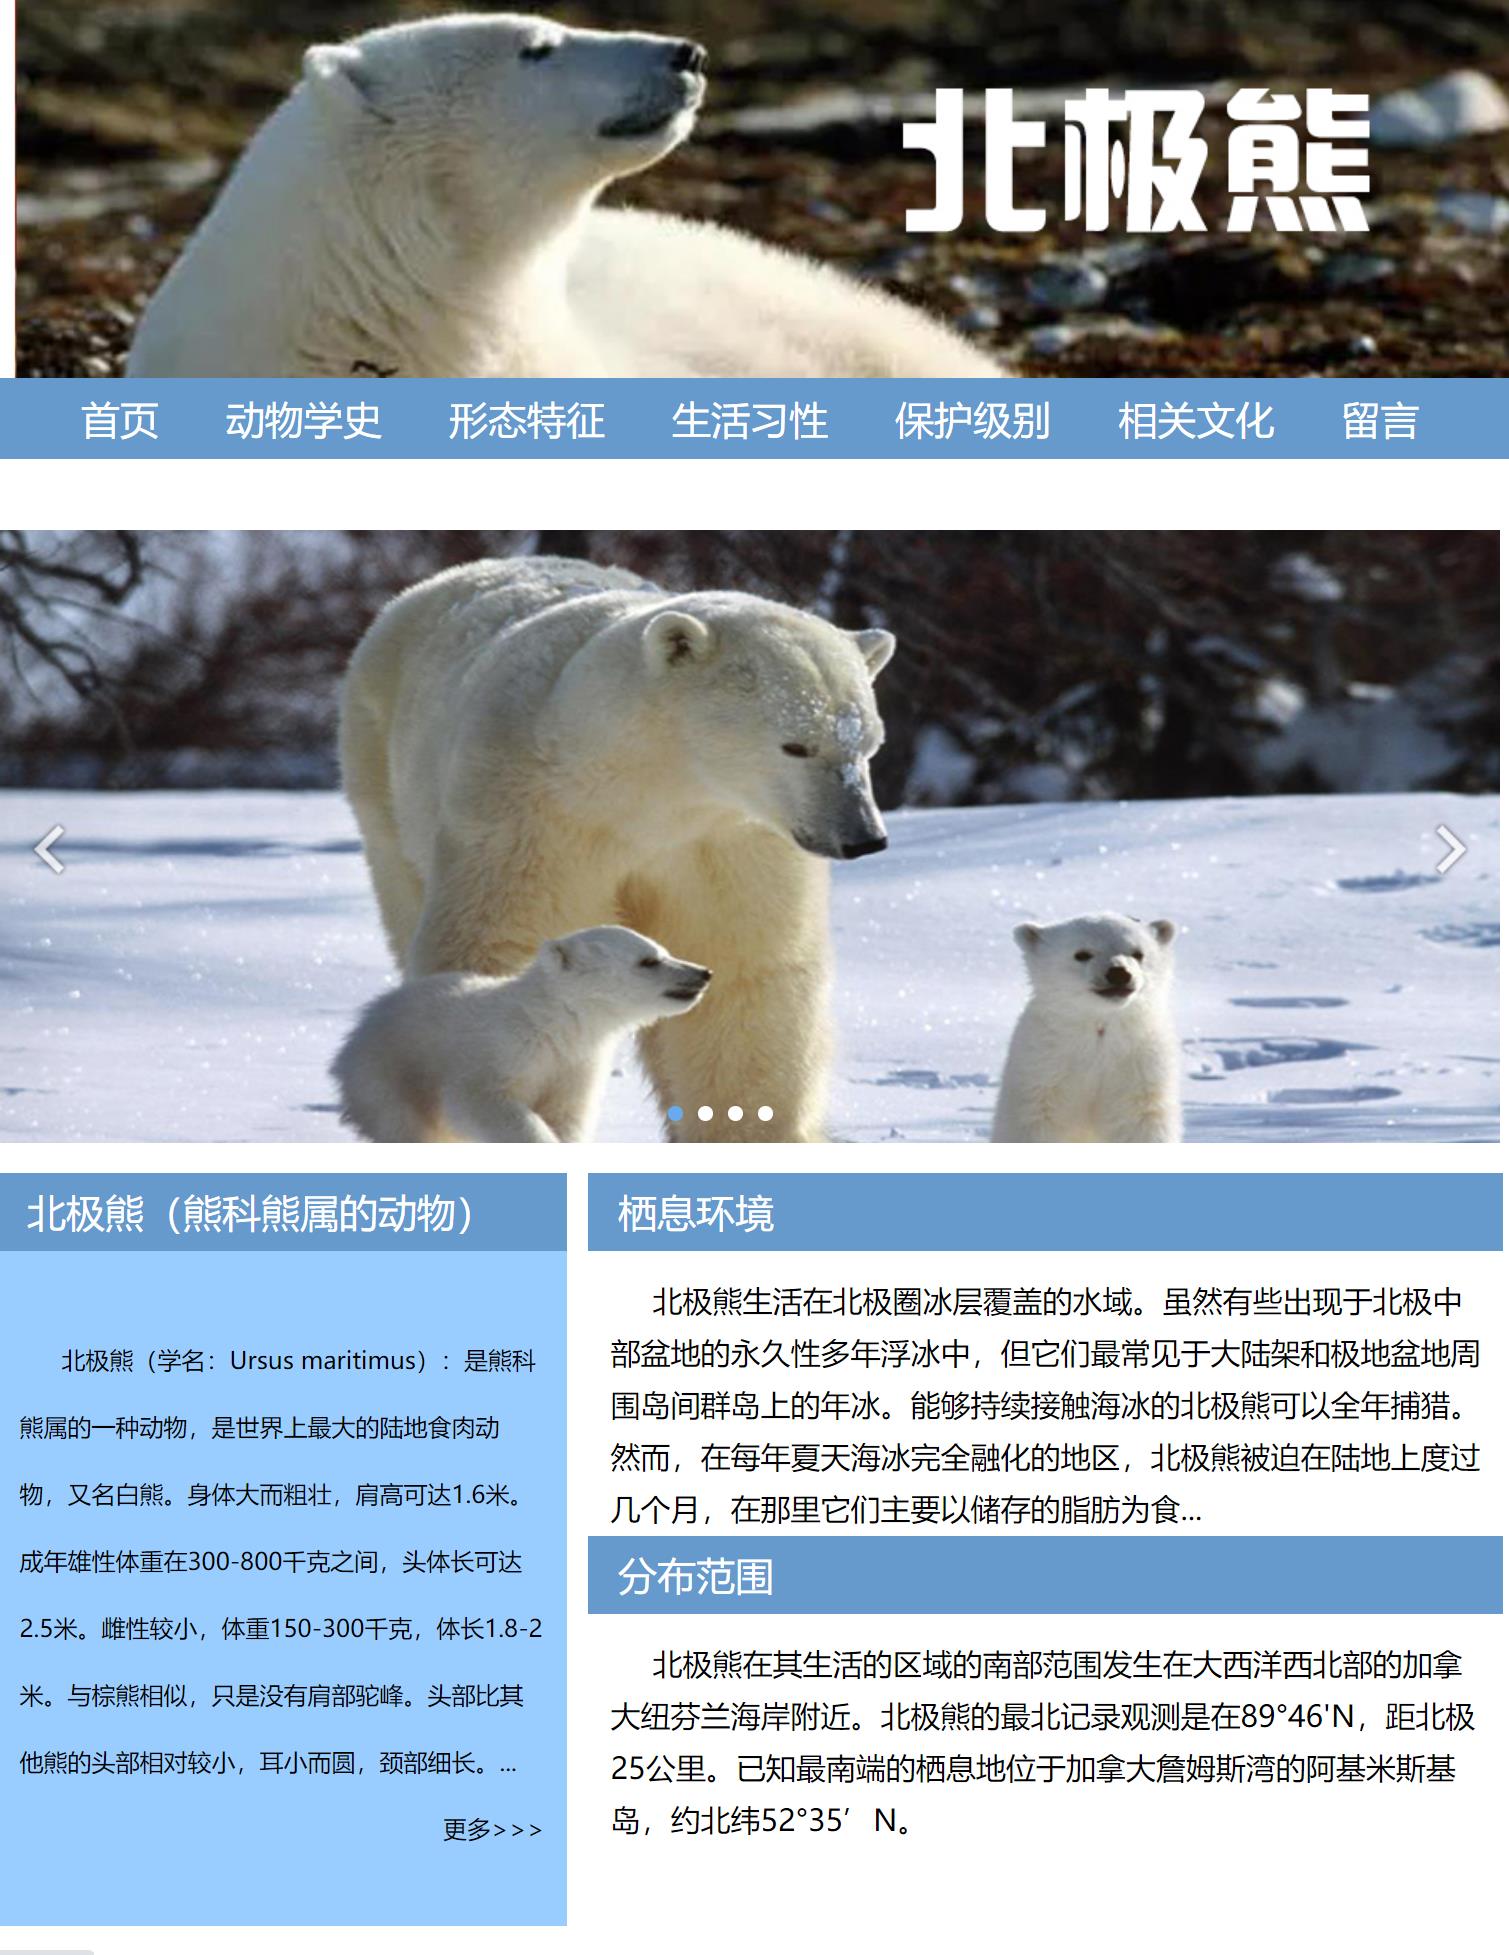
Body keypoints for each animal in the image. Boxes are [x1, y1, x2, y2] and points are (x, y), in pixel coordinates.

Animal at [332, 924, 711, 1142]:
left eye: (663, 950)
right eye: (648, 960)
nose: (702, 972)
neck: (551, 1022)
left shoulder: (575, 1065)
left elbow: (565, 1115)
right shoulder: (499, 1049)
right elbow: (482, 1099)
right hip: (388, 1075)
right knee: (407, 1126)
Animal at [991, 913, 1182, 1143]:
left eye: (1138, 953)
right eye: (1082, 954)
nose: (1119, 973)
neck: (1099, 1025)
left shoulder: (1141, 1064)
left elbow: (1141, 1121)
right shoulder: (1043, 1068)